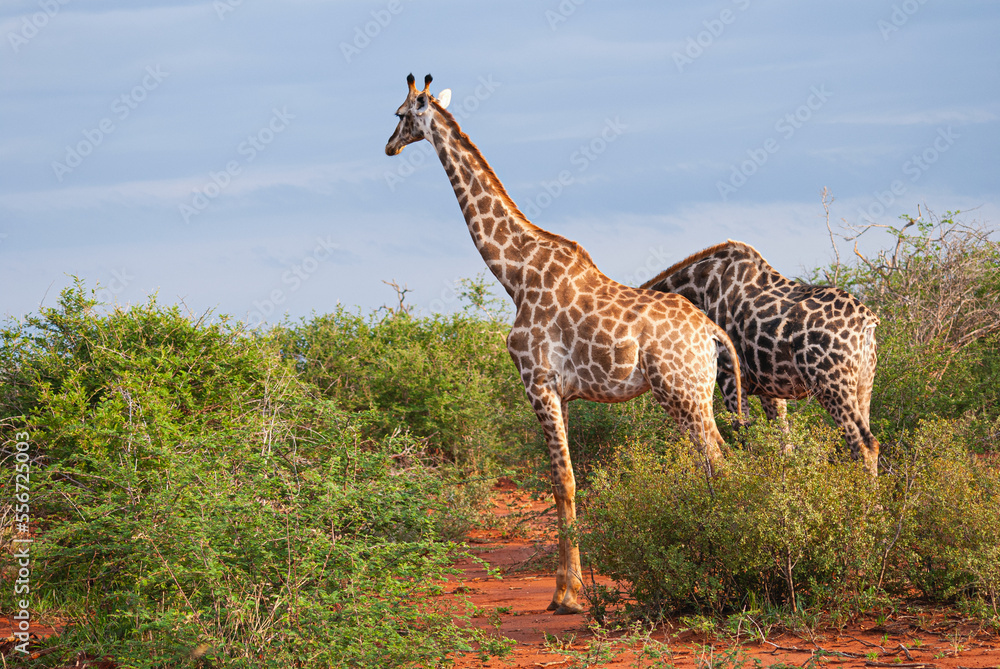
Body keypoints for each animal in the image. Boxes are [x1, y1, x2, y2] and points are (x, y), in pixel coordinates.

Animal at [385, 74, 743, 615]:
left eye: (401, 114)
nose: (388, 147)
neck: (513, 272)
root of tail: (712, 333)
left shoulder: (537, 382)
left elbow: (564, 481)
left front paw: (566, 595)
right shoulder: (565, 393)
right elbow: (567, 480)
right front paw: (572, 587)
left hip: (682, 392)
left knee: (718, 462)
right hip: (695, 394)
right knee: (716, 462)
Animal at [641, 240, 880, 475]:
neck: (703, 286)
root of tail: (868, 322)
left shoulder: (729, 376)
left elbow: (744, 438)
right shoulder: (771, 388)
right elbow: (784, 446)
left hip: (831, 383)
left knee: (863, 444)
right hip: (863, 383)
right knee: (870, 440)